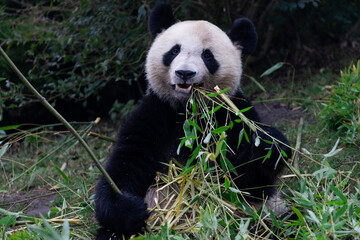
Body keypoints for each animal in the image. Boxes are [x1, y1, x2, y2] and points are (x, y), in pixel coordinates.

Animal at [94, 2, 292, 240]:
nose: (185, 73)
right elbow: (125, 167)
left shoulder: (232, 117)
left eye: (208, 56)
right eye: (174, 51)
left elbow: (248, 184)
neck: (188, 111)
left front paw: (269, 143)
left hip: (264, 216)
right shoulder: (153, 115)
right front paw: (129, 208)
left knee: (280, 222)